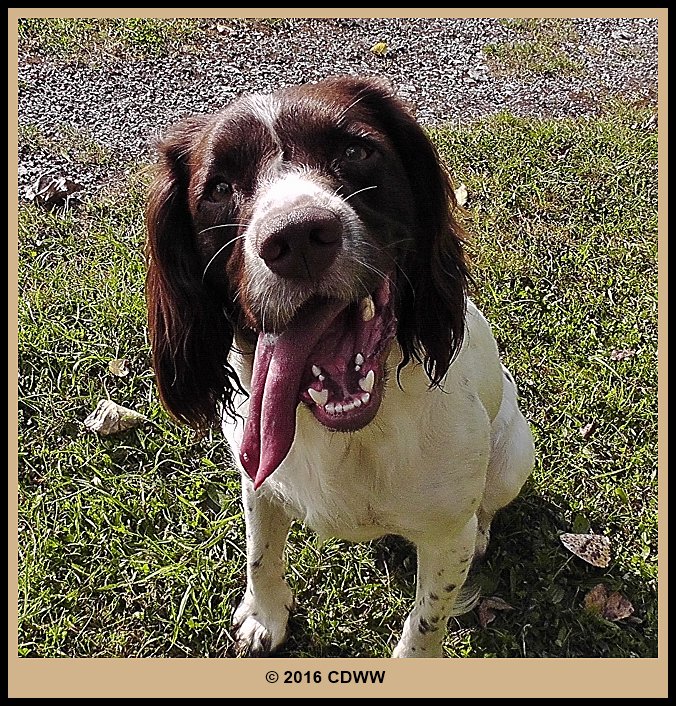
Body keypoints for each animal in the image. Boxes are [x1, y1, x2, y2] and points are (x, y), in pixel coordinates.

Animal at [144, 75, 532, 656]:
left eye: (356, 151)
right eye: (218, 187)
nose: (297, 237)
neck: (346, 433)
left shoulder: (445, 538)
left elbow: (428, 617)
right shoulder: (258, 480)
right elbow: (260, 553)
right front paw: (265, 616)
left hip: (512, 457)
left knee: (486, 508)